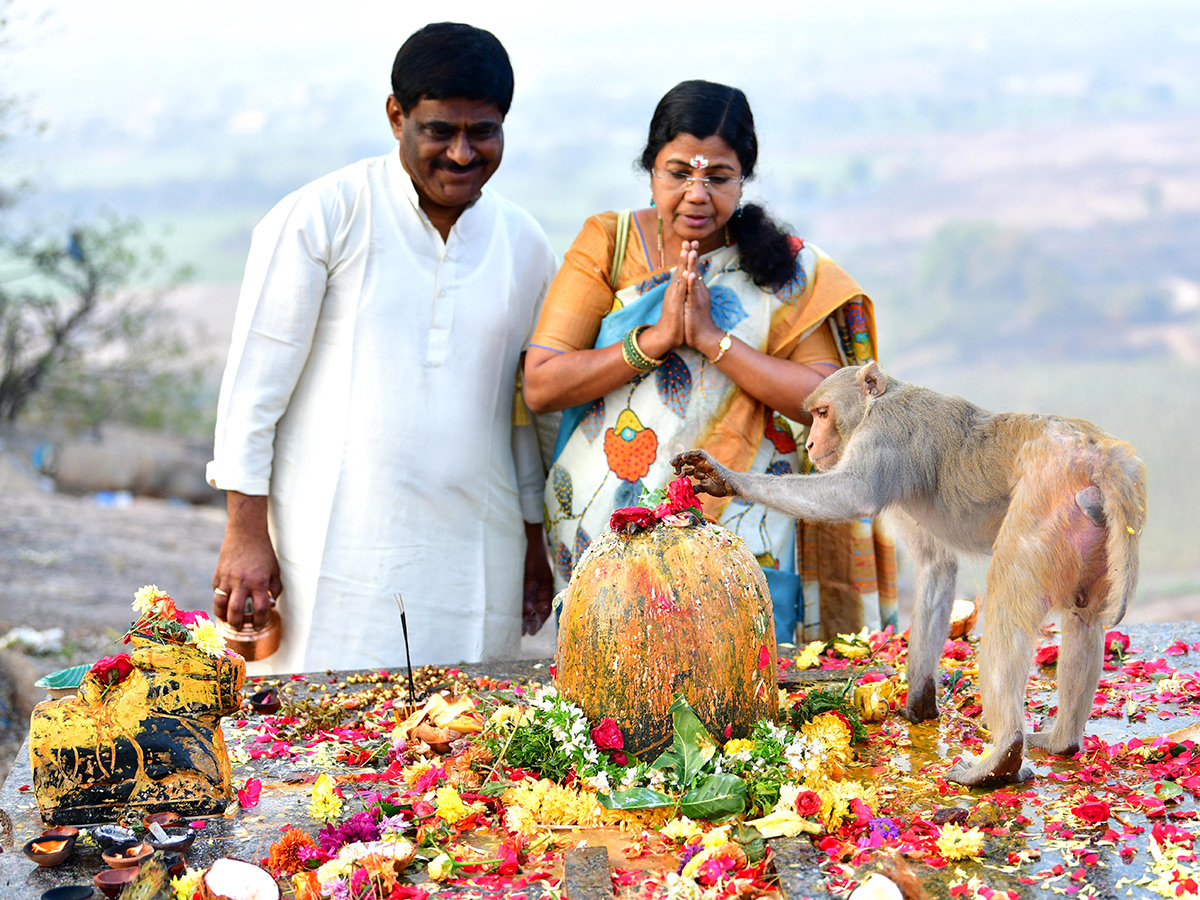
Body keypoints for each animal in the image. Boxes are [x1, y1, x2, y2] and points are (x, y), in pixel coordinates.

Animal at [672, 362, 1147, 787]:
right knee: (1084, 619)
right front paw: (919, 699)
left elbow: (852, 494)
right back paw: (1062, 740)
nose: (809, 443)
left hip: (1046, 510)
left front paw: (726, 477)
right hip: (1097, 537)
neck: (876, 404)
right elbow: (937, 568)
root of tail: (1102, 455)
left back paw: (1002, 758)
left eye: (822, 413)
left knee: (1008, 605)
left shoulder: (888, 437)